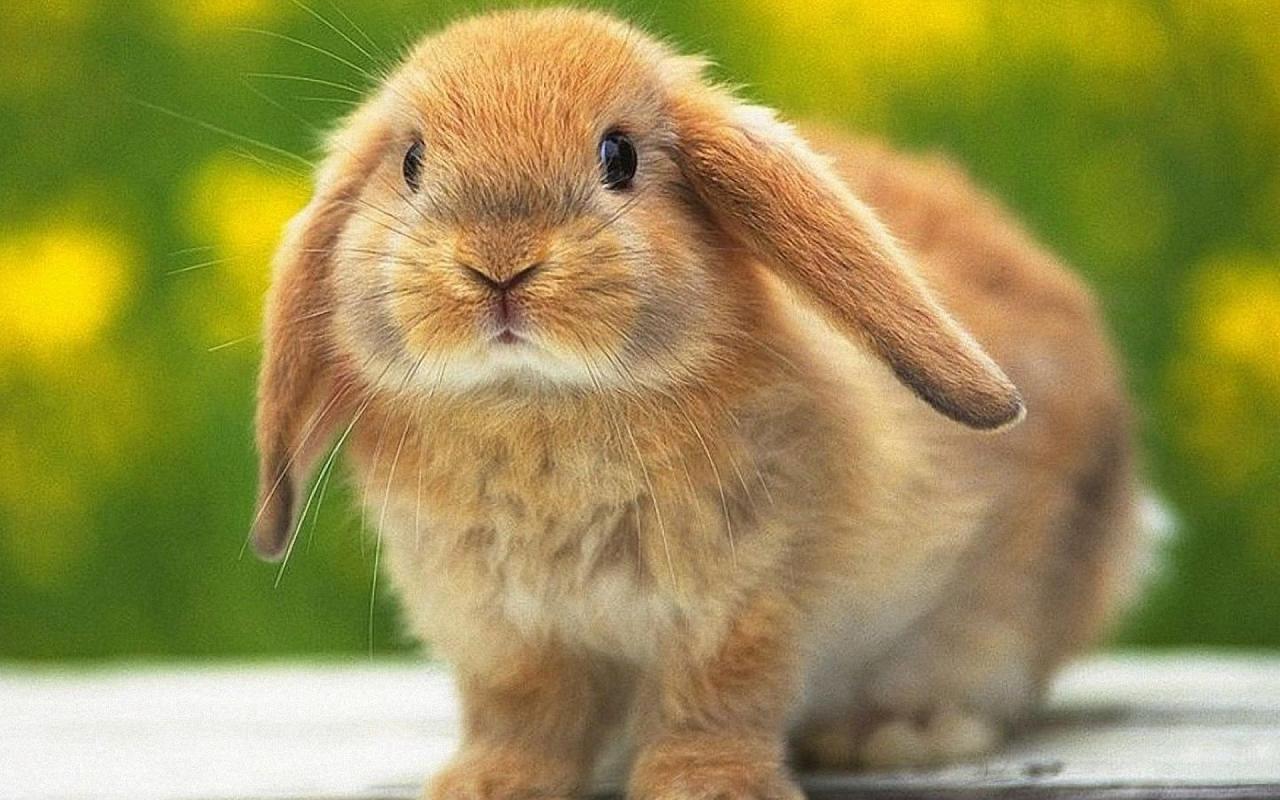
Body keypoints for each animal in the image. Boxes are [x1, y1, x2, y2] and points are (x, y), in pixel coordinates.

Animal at [249, 7, 1150, 800]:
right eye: (410, 162)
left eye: (619, 156)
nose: (499, 265)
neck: (539, 402)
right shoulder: (501, 634)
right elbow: (523, 716)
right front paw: (486, 785)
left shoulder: (742, 604)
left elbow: (714, 702)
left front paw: (704, 786)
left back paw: (896, 734)